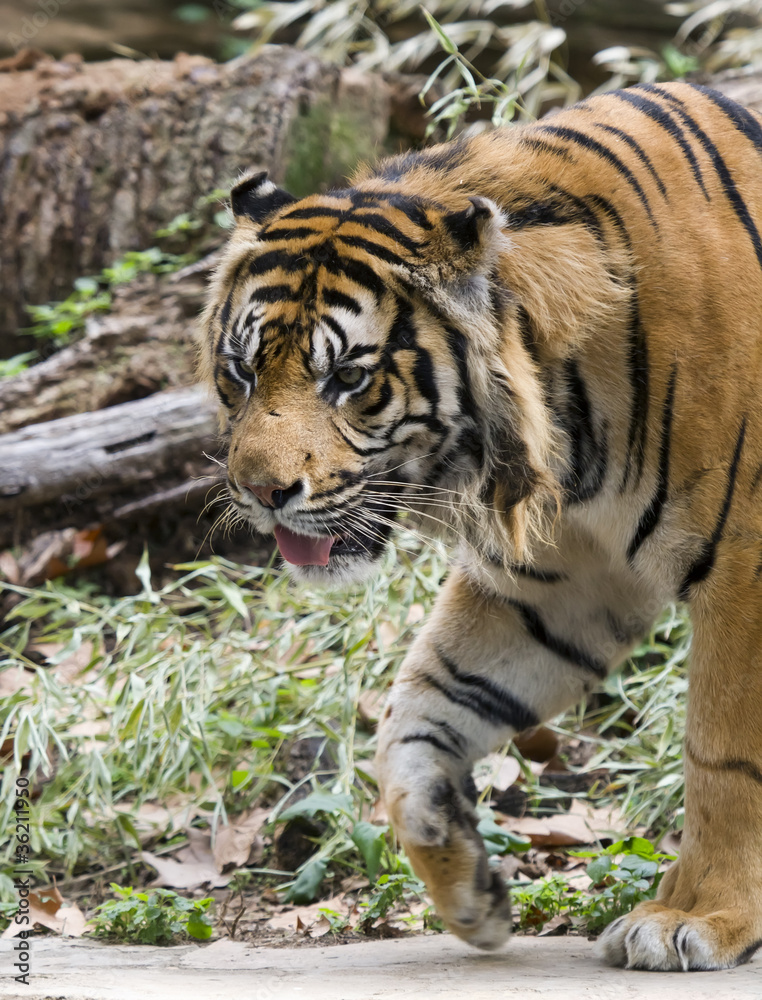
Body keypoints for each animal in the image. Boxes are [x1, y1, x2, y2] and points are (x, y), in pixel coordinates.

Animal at [199, 82, 760, 972]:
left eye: (347, 377)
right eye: (242, 370)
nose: (260, 491)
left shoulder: (745, 569)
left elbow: (724, 757)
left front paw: (697, 917)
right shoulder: (559, 581)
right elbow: (415, 716)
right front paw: (468, 887)